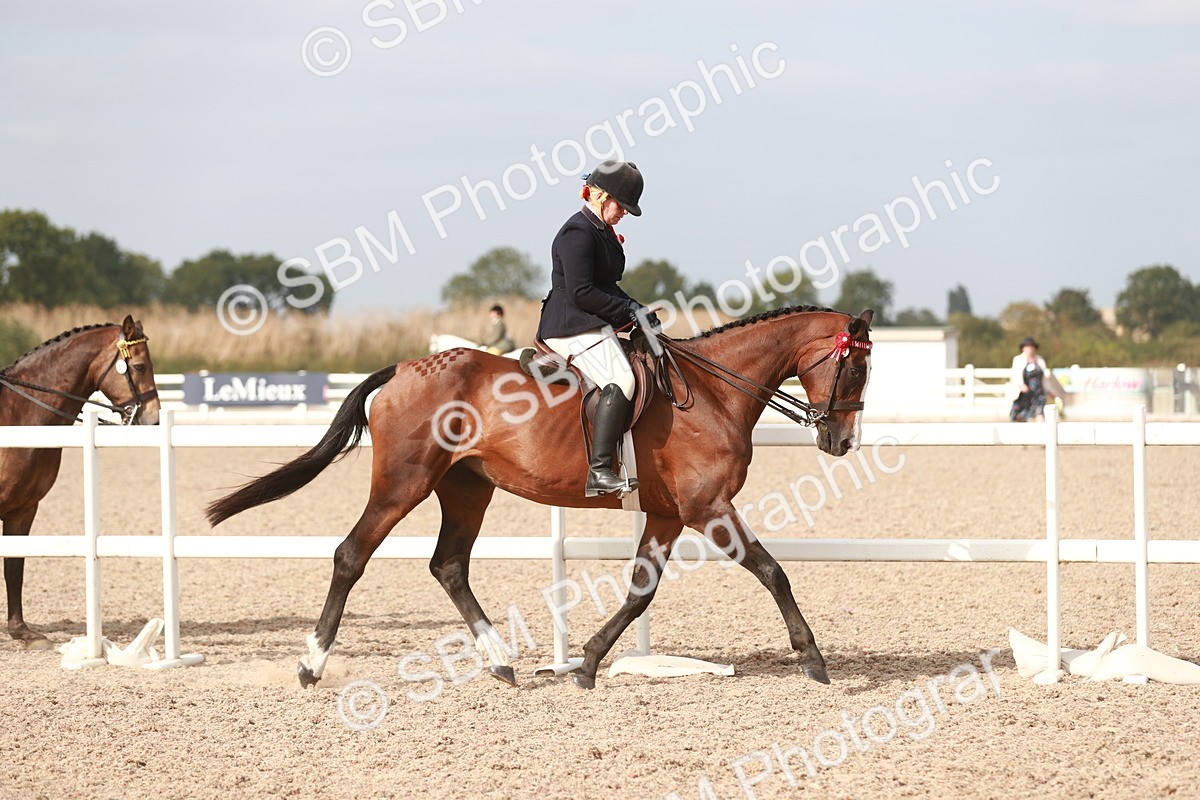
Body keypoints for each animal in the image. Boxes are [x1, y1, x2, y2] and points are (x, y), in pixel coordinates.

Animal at [1, 316, 161, 647]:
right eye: (140, 367)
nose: (154, 420)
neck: (17, 415)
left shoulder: (23, 509)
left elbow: (14, 566)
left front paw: (22, 632)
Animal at [207, 306, 874, 690]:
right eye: (856, 368)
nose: (841, 440)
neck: (711, 392)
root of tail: (401, 369)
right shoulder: (707, 509)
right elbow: (773, 571)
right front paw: (813, 658)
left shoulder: (667, 514)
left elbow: (640, 591)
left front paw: (588, 663)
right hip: (404, 482)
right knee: (351, 555)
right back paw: (311, 667)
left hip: (466, 488)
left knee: (449, 565)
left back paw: (500, 662)